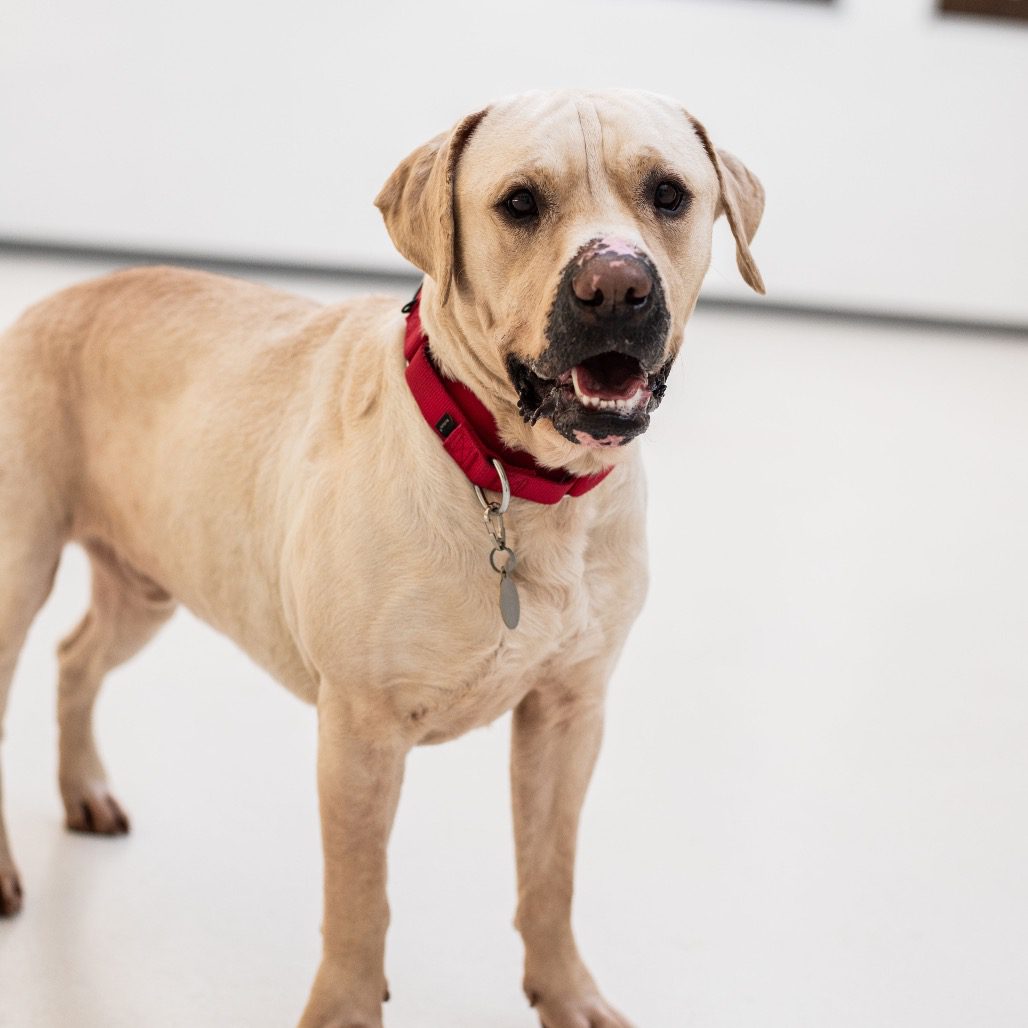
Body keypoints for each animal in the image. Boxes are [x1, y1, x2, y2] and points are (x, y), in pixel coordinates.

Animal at [0, 88, 764, 1027]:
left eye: (668, 194)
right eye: (519, 203)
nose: (616, 284)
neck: (512, 480)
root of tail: (61, 295)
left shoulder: (568, 716)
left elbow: (551, 878)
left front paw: (567, 992)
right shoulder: (359, 735)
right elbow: (361, 900)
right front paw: (346, 1008)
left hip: (147, 585)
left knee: (76, 658)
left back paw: (84, 790)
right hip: (17, 577)